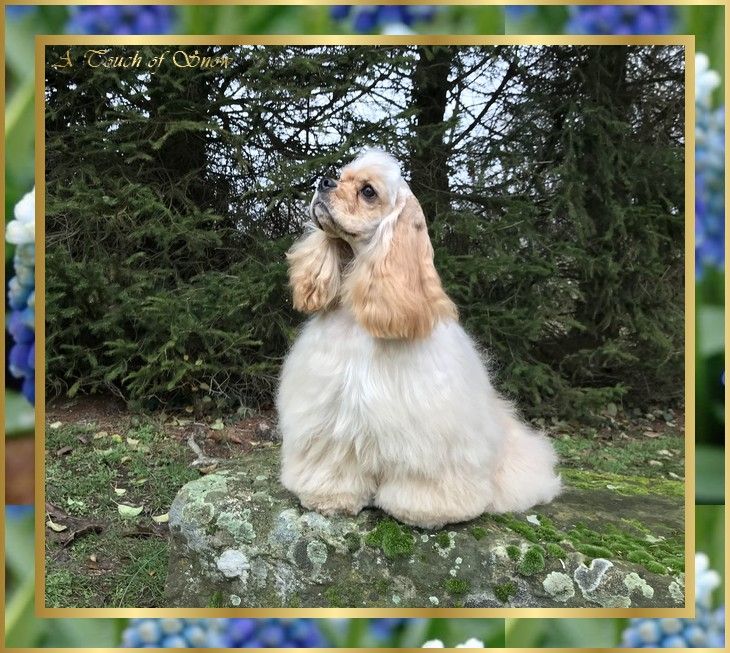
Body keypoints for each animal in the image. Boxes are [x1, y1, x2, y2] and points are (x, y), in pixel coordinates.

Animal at [276, 149, 561, 529]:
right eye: (341, 173)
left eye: (368, 191)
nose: (324, 181)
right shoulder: (330, 412)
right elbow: (334, 459)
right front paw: (329, 497)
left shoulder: (428, 427)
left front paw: (425, 510)